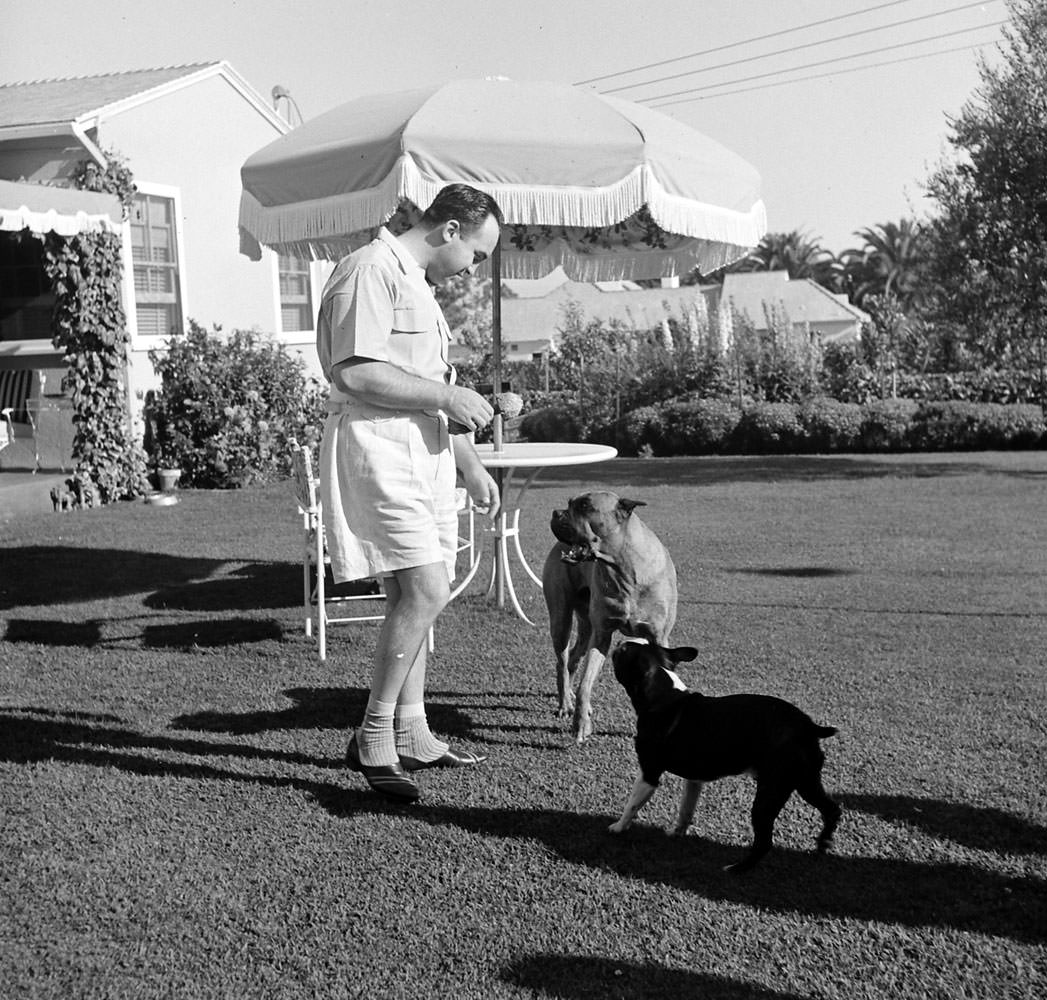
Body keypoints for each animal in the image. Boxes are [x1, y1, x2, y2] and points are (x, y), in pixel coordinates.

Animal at [540, 492, 678, 741]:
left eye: (585, 505)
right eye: (570, 503)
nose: (556, 513)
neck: (624, 567)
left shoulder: (658, 637)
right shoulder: (602, 635)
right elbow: (586, 684)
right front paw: (581, 725)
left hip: (586, 626)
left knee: (573, 657)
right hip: (561, 619)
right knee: (562, 662)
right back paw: (566, 704)